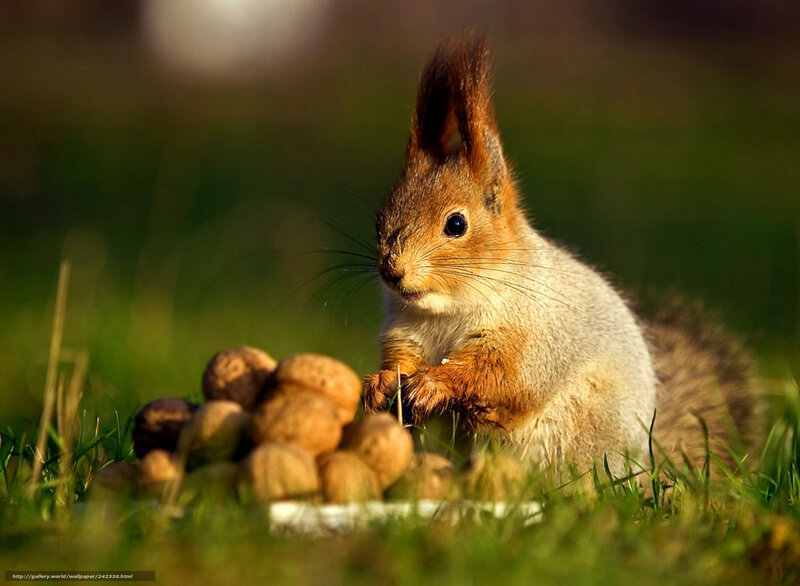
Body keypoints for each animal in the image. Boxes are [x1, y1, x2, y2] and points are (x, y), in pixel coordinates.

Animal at [362, 35, 761, 475]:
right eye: (381, 215)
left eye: (456, 224)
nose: (392, 271)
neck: (446, 310)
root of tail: (642, 467)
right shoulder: (405, 330)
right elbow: (401, 359)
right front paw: (380, 384)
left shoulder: (532, 337)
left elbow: (499, 377)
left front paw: (433, 384)